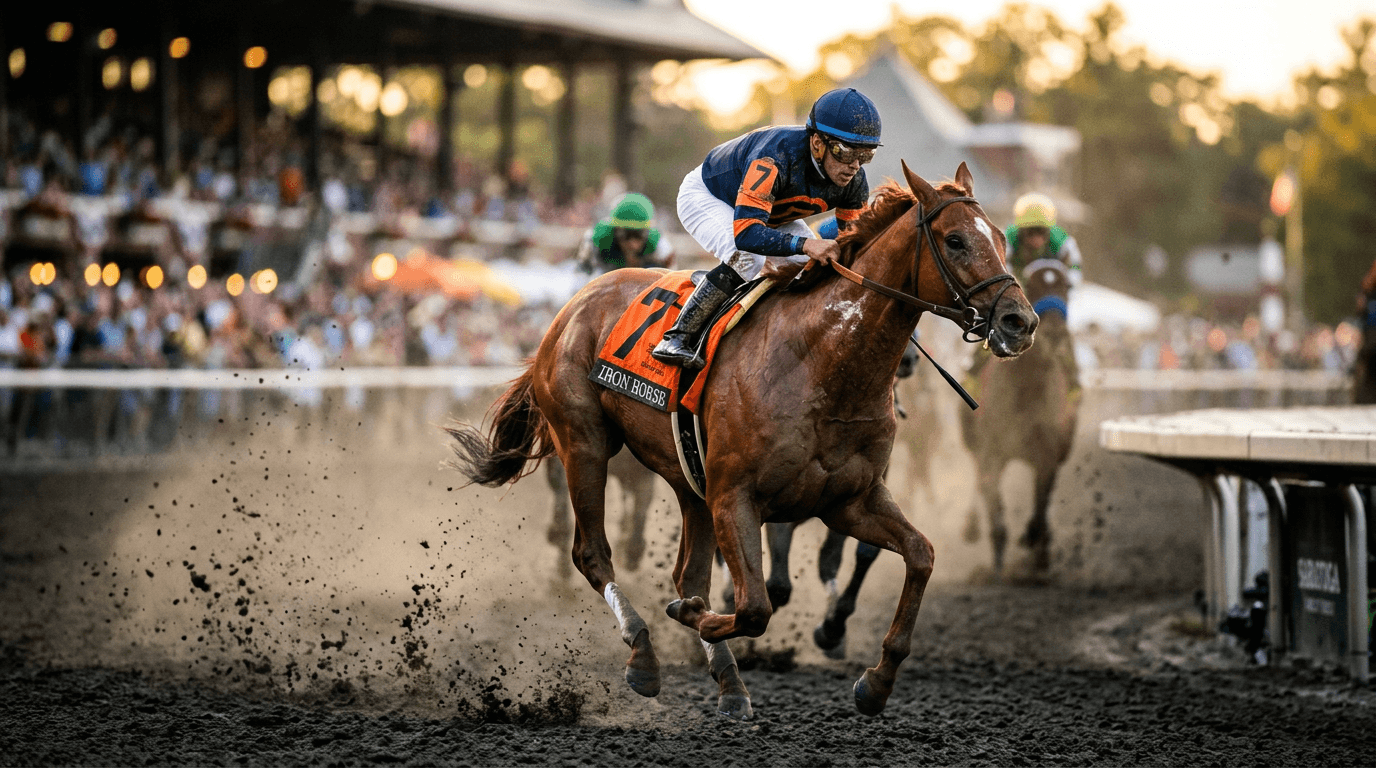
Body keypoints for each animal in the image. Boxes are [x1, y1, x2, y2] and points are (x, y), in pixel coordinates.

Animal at [445, 161, 1037, 719]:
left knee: (688, 571)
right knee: (593, 553)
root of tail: (575, 304)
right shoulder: (737, 496)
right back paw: (644, 655)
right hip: (584, 442)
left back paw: (729, 682)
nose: (1020, 321)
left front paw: (875, 681)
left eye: (1002, 238)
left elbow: (920, 555)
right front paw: (694, 620)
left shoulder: (849, 500)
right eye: (955, 240)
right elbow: (754, 607)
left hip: (689, 479)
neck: (823, 362)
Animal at [960, 258, 1079, 576]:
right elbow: (995, 507)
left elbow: (1040, 506)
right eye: (1032, 284)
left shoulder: (1047, 454)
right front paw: (999, 561)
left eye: (1067, 286)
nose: (1054, 334)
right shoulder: (991, 453)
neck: (1027, 388)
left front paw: (1037, 544)